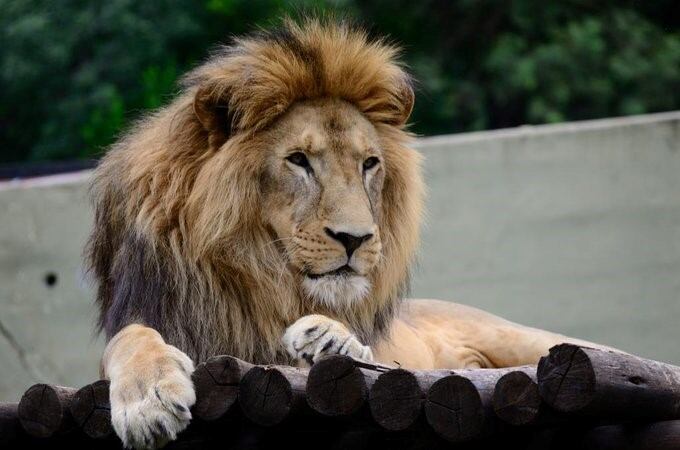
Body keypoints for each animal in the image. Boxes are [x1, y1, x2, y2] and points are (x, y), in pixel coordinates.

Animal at [89, 18, 604, 450]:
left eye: (369, 163)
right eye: (298, 160)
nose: (355, 238)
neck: (260, 283)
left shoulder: (389, 361)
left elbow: (371, 356)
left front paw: (331, 339)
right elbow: (129, 338)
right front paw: (149, 401)